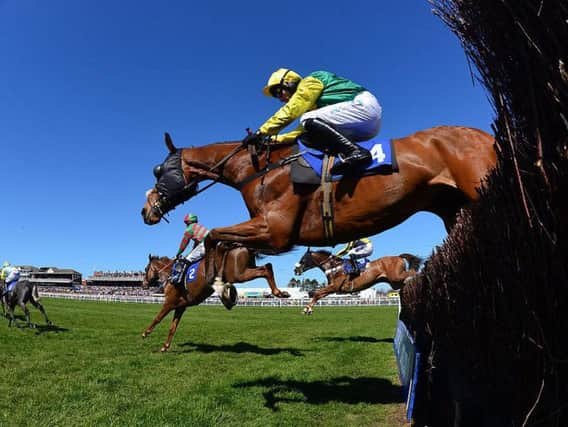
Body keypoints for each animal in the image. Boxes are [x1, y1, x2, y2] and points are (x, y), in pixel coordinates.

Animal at [140, 247, 290, 352]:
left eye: (146, 269)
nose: (144, 284)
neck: (171, 274)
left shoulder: (169, 302)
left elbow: (157, 318)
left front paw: (145, 333)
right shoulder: (181, 306)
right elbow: (173, 327)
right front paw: (165, 346)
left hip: (238, 274)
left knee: (266, 269)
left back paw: (278, 292)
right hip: (246, 268)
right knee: (268, 266)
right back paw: (281, 293)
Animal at [143, 126, 496, 284]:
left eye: (158, 170)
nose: (146, 210)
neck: (260, 169)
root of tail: (487, 136)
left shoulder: (275, 231)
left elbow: (214, 235)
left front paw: (219, 283)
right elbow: (219, 238)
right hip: (454, 211)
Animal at [292, 249, 422, 316]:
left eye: (303, 259)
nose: (295, 270)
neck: (334, 267)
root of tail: (398, 257)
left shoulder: (334, 286)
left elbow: (317, 293)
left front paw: (307, 309)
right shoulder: (332, 288)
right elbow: (318, 295)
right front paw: (308, 308)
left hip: (396, 277)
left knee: (412, 273)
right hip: (394, 282)